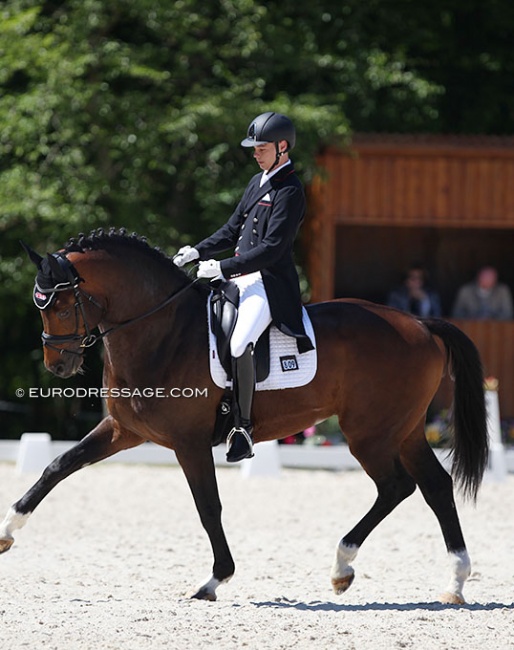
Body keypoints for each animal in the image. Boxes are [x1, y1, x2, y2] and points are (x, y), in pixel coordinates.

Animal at [0, 229, 486, 604]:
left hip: (369, 433)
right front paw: (8, 531)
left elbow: (207, 506)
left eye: (62, 306)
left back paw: (342, 568)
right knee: (436, 487)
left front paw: (214, 580)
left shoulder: (189, 443)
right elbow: (58, 465)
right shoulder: (124, 430)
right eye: (41, 305)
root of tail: (421, 324)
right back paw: (455, 583)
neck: (162, 331)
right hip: (404, 431)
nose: (56, 366)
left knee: (396, 487)